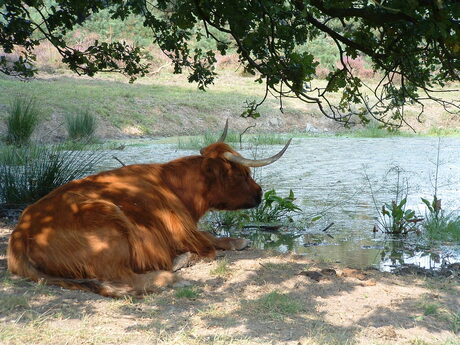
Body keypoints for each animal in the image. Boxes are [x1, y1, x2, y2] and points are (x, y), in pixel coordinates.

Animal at [8, 125, 292, 296]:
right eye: (242, 174)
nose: (259, 193)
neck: (174, 186)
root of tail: (21, 233)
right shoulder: (181, 231)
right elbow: (208, 246)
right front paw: (186, 258)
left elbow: (212, 236)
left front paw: (237, 241)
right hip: (110, 228)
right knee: (124, 279)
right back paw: (170, 277)